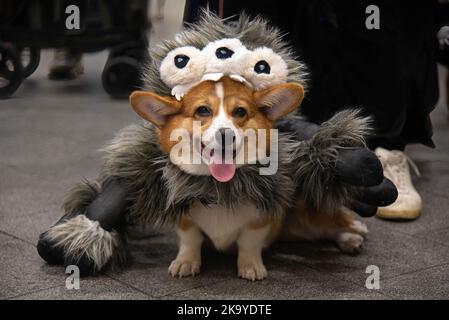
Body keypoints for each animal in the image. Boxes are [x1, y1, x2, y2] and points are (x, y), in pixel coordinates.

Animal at [130, 75, 368, 280]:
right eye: (202, 110)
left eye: (240, 111)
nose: (226, 135)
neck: (220, 188)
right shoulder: (183, 217)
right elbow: (191, 239)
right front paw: (186, 262)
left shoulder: (261, 219)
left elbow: (249, 242)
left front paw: (250, 266)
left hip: (306, 212)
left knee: (332, 223)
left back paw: (353, 233)